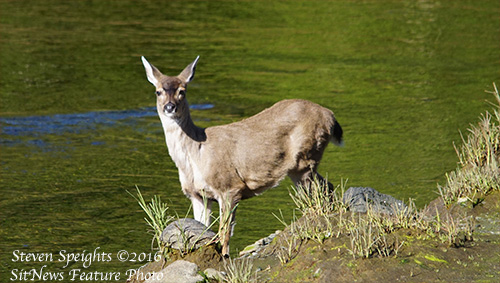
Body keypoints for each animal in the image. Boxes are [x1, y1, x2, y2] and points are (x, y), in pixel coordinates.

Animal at [141, 56, 344, 258]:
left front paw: (224, 257)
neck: (196, 154)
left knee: (318, 191)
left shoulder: (229, 186)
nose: (170, 107)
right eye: (158, 91)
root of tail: (330, 116)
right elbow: (203, 229)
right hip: (300, 167)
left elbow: (224, 233)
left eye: (182, 91)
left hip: (307, 157)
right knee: (326, 186)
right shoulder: (197, 195)